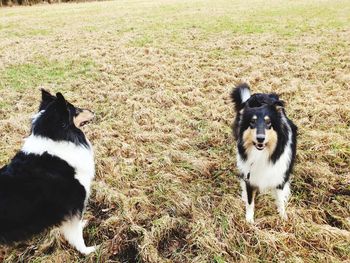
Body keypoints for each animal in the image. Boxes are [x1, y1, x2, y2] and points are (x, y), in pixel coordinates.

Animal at [0, 89, 95, 255]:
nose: (93, 111)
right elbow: (76, 235)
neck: (57, 137)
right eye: (75, 110)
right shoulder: (74, 205)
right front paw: (87, 251)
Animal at [231, 83, 296, 224]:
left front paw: (283, 217)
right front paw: (249, 221)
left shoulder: (280, 175)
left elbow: (280, 199)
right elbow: (250, 201)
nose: (260, 138)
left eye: (268, 122)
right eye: (252, 122)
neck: (262, 154)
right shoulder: (249, 177)